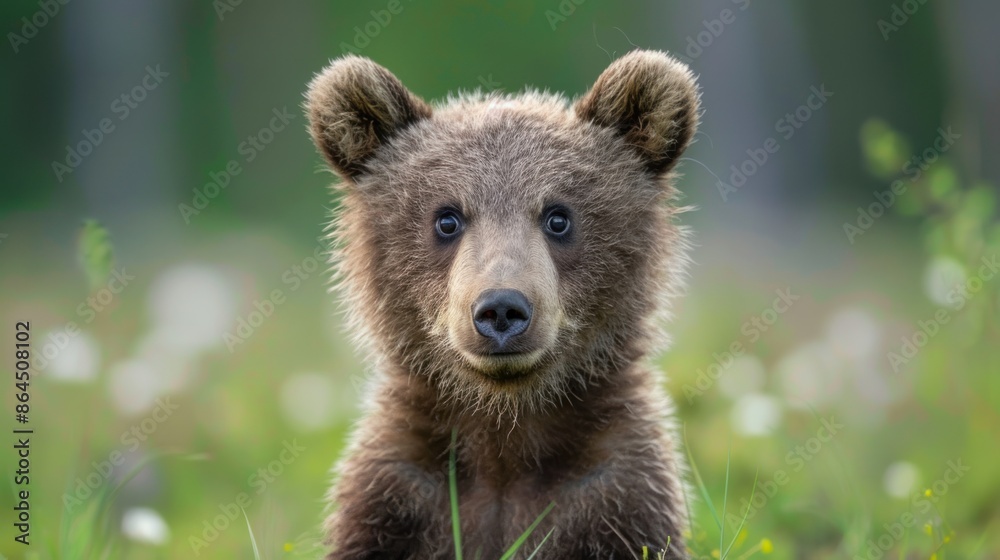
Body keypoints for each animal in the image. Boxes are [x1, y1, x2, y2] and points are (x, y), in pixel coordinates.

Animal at [305, 49, 700, 559]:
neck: (504, 428)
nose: (501, 309)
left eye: (558, 217)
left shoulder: (617, 492)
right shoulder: (398, 493)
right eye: (447, 218)